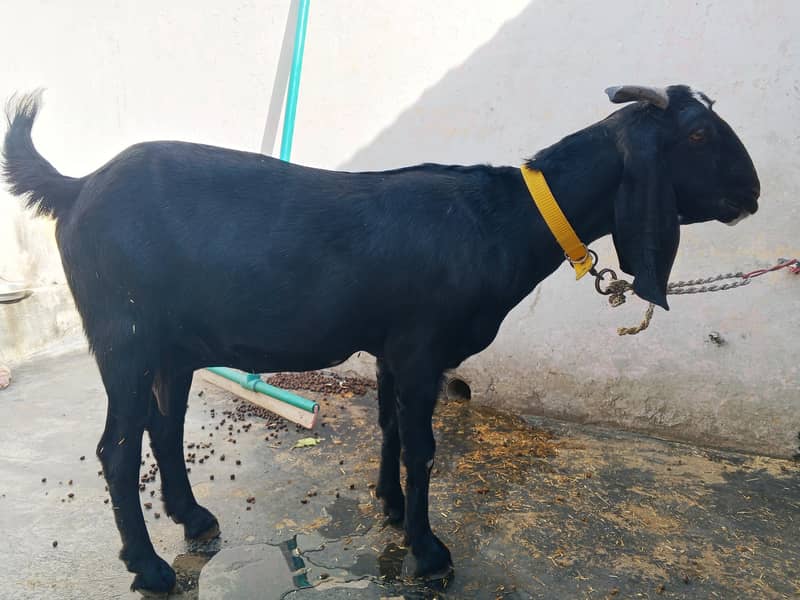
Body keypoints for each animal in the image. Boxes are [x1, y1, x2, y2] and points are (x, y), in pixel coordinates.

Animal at [3, 85, 759, 595]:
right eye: (697, 137)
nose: (752, 193)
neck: (502, 220)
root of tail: (76, 188)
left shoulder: (395, 346)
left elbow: (392, 428)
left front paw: (391, 507)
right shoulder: (423, 347)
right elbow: (423, 446)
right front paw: (429, 552)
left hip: (172, 345)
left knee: (162, 427)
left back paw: (191, 519)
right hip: (123, 335)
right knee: (116, 447)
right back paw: (150, 567)